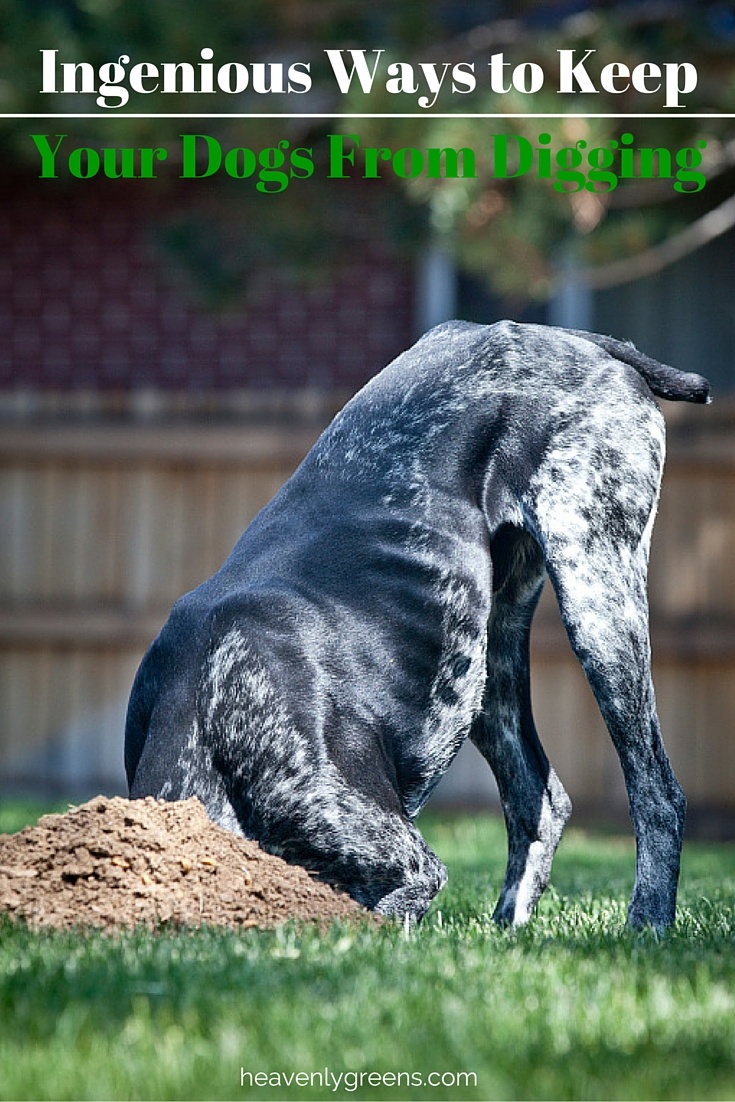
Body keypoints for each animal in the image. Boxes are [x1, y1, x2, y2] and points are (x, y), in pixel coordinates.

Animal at [123, 321, 709, 930]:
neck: (204, 718)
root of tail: (571, 337)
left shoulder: (405, 865)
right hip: (484, 664)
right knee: (540, 802)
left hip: (596, 598)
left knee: (657, 792)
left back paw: (647, 921)